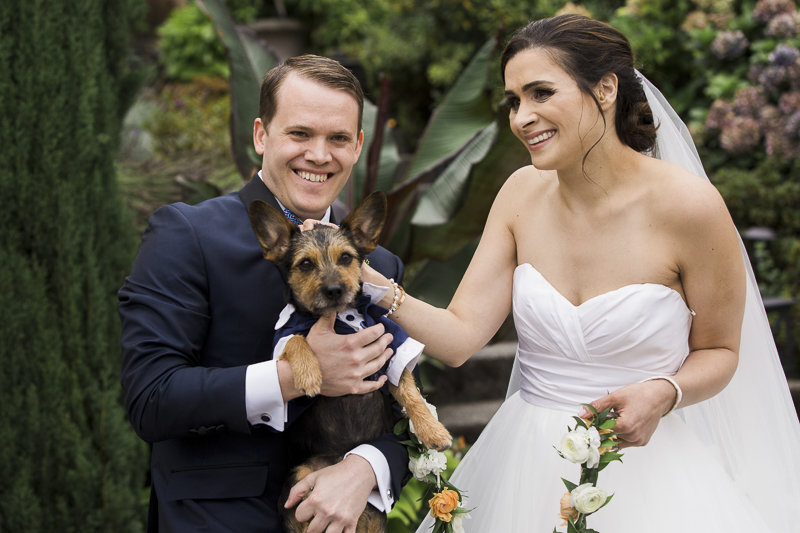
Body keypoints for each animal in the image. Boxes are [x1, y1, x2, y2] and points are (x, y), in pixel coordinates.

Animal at [250, 191, 450, 532]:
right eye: (305, 264)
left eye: (346, 258)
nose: (334, 290)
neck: (339, 317)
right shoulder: (284, 335)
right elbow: (298, 340)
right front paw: (309, 374)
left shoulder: (391, 344)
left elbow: (409, 391)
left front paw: (432, 431)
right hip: (300, 479)